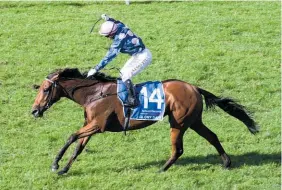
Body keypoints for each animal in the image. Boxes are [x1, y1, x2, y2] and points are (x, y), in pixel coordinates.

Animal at [32, 68, 258, 175]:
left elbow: (71, 137)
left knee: (178, 149)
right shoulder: (91, 126)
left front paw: (55, 164)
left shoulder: (98, 125)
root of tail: (194, 87)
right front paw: (64, 169)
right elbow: (78, 147)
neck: (94, 94)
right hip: (193, 121)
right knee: (212, 136)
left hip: (178, 122)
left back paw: (162, 169)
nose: (34, 111)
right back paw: (226, 163)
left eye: (45, 89)